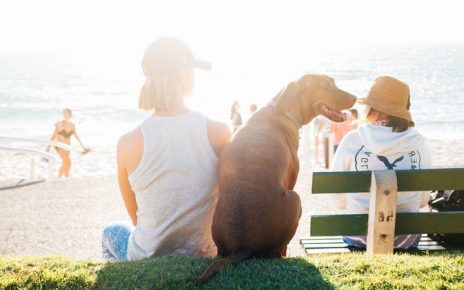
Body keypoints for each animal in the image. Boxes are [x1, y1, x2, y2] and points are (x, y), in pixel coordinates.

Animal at [198, 73, 358, 284]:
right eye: (325, 85)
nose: (356, 97)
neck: (282, 110)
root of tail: (242, 244)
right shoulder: (291, 180)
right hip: (295, 199)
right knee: (278, 250)